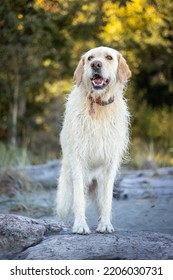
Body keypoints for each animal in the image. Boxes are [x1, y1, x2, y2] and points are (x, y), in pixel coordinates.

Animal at [56, 46, 131, 234]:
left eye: (109, 57)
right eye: (90, 58)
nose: (96, 64)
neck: (98, 104)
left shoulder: (110, 164)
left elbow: (107, 201)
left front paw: (105, 224)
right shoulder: (77, 159)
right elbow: (79, 200)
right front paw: (80, 226)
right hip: (66, 190)